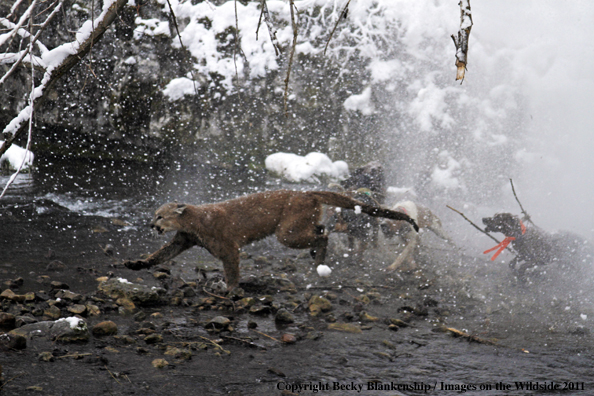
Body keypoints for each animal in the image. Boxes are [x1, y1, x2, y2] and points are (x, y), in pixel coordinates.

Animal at [123, 190, 416, 290]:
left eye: (160, 216)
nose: (151, 225)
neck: (196, 221)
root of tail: (308, 192)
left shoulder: (228, 247)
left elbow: (232, 270)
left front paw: (230, 290)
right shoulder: (182, 240)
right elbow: (159, 255)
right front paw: (135, 264)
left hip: (286, 232)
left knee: (323, 235)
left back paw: (318, 260)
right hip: (297, 227)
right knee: (322, 229)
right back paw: (316, 259)